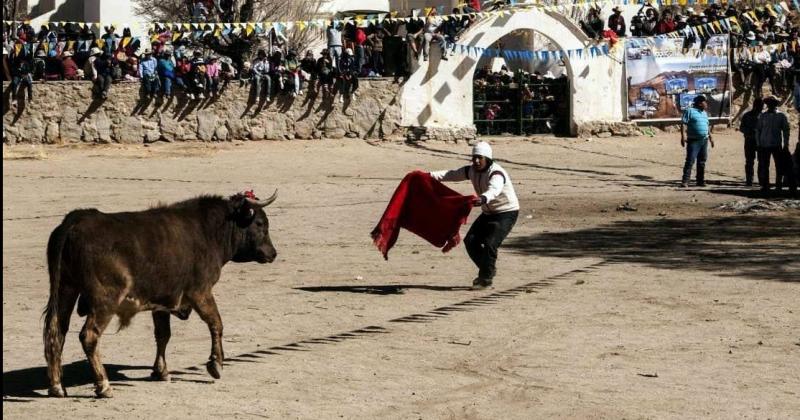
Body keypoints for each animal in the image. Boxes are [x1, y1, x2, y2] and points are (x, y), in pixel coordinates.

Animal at [42, 190, 278, 398]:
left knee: (56, 332)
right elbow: (216, 323)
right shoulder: (201, 292)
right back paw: (104, 386)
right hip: (104, 301)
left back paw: (56, 386)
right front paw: (216, 364)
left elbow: (163, 334)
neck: (208, 231)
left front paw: (161, 371)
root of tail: (75, 221)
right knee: (89, 336)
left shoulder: (163, 301)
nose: (273, 254)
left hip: (66, 289)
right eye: (260, 224)